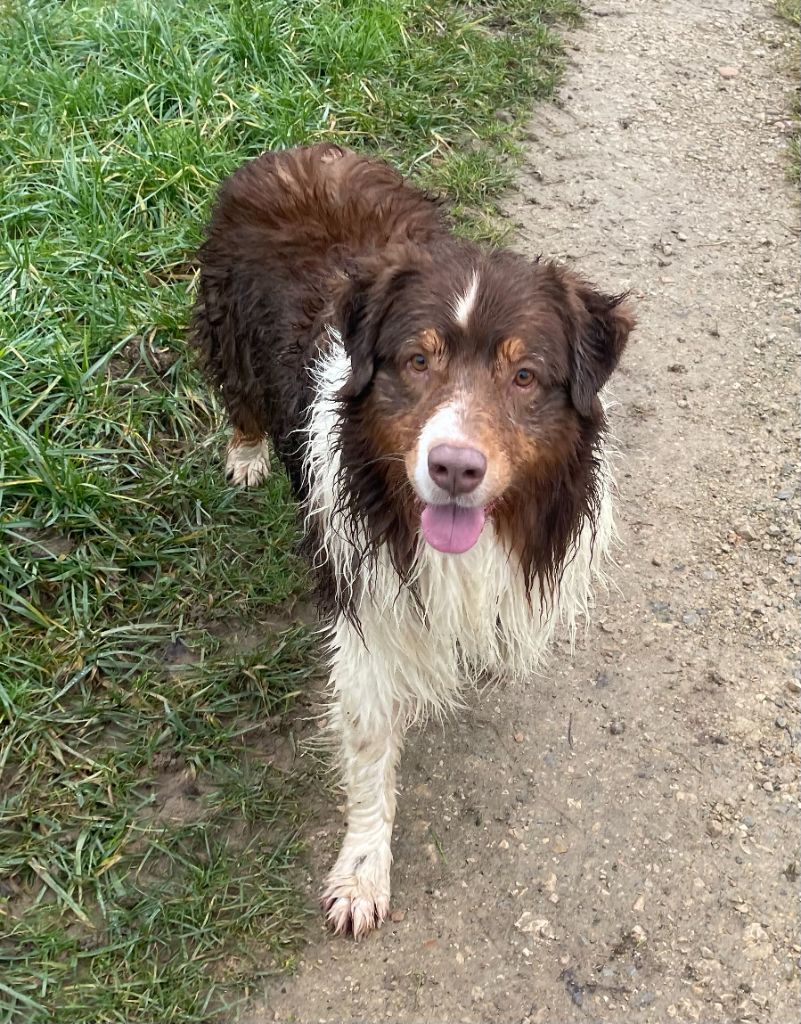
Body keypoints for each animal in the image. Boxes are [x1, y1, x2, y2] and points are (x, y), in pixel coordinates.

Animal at [192, 143, 634, 938]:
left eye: (526, 375)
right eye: (417, 361)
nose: (454, 467)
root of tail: (299, 148)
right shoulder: (366, 606)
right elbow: (369, 744)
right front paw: (361, 874)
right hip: (226, 327)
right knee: (238, 398)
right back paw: (244, 453)